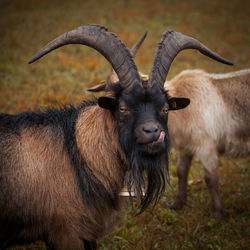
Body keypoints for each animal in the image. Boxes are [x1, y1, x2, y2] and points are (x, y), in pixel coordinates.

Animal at [164, 69, 250, 219]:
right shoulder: (185, 148)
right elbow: (181, 172)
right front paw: (177, 204)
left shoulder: (206, 147)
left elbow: (210, 178)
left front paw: (217, 213)